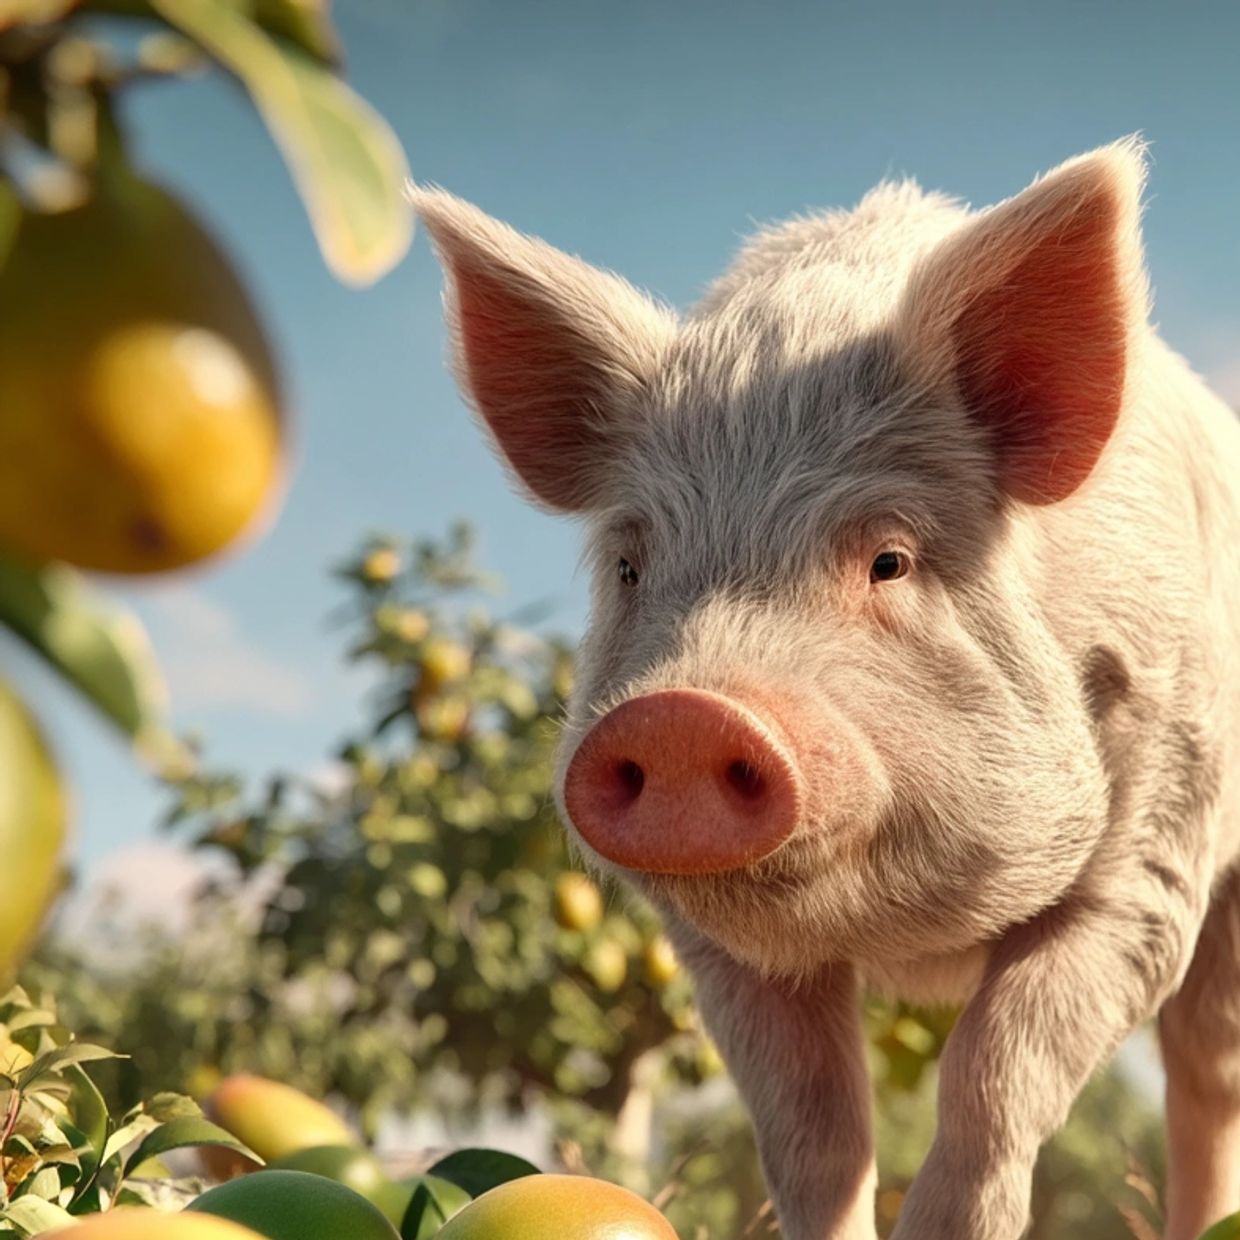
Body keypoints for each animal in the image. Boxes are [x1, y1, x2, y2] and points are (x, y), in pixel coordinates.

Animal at [411, 139, 1240, 1240]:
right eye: (631, 565)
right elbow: (809, 1122)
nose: (680, 714)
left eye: (889, 559)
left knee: (1207, 1064)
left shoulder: (1159, 842)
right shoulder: (715, 945)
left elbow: (996, 1070)